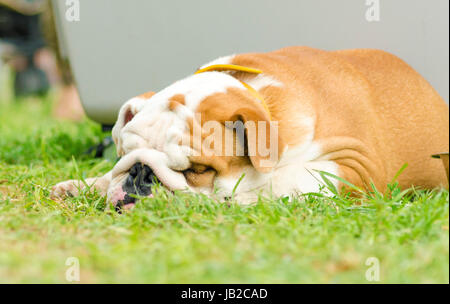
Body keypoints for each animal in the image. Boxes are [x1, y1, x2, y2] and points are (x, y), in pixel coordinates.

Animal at [51, 47, 448, 209]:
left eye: (199, 170)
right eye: (126, 155)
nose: (140, 174)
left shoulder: (354, 166)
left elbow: (283, 179)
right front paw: (85, 184)